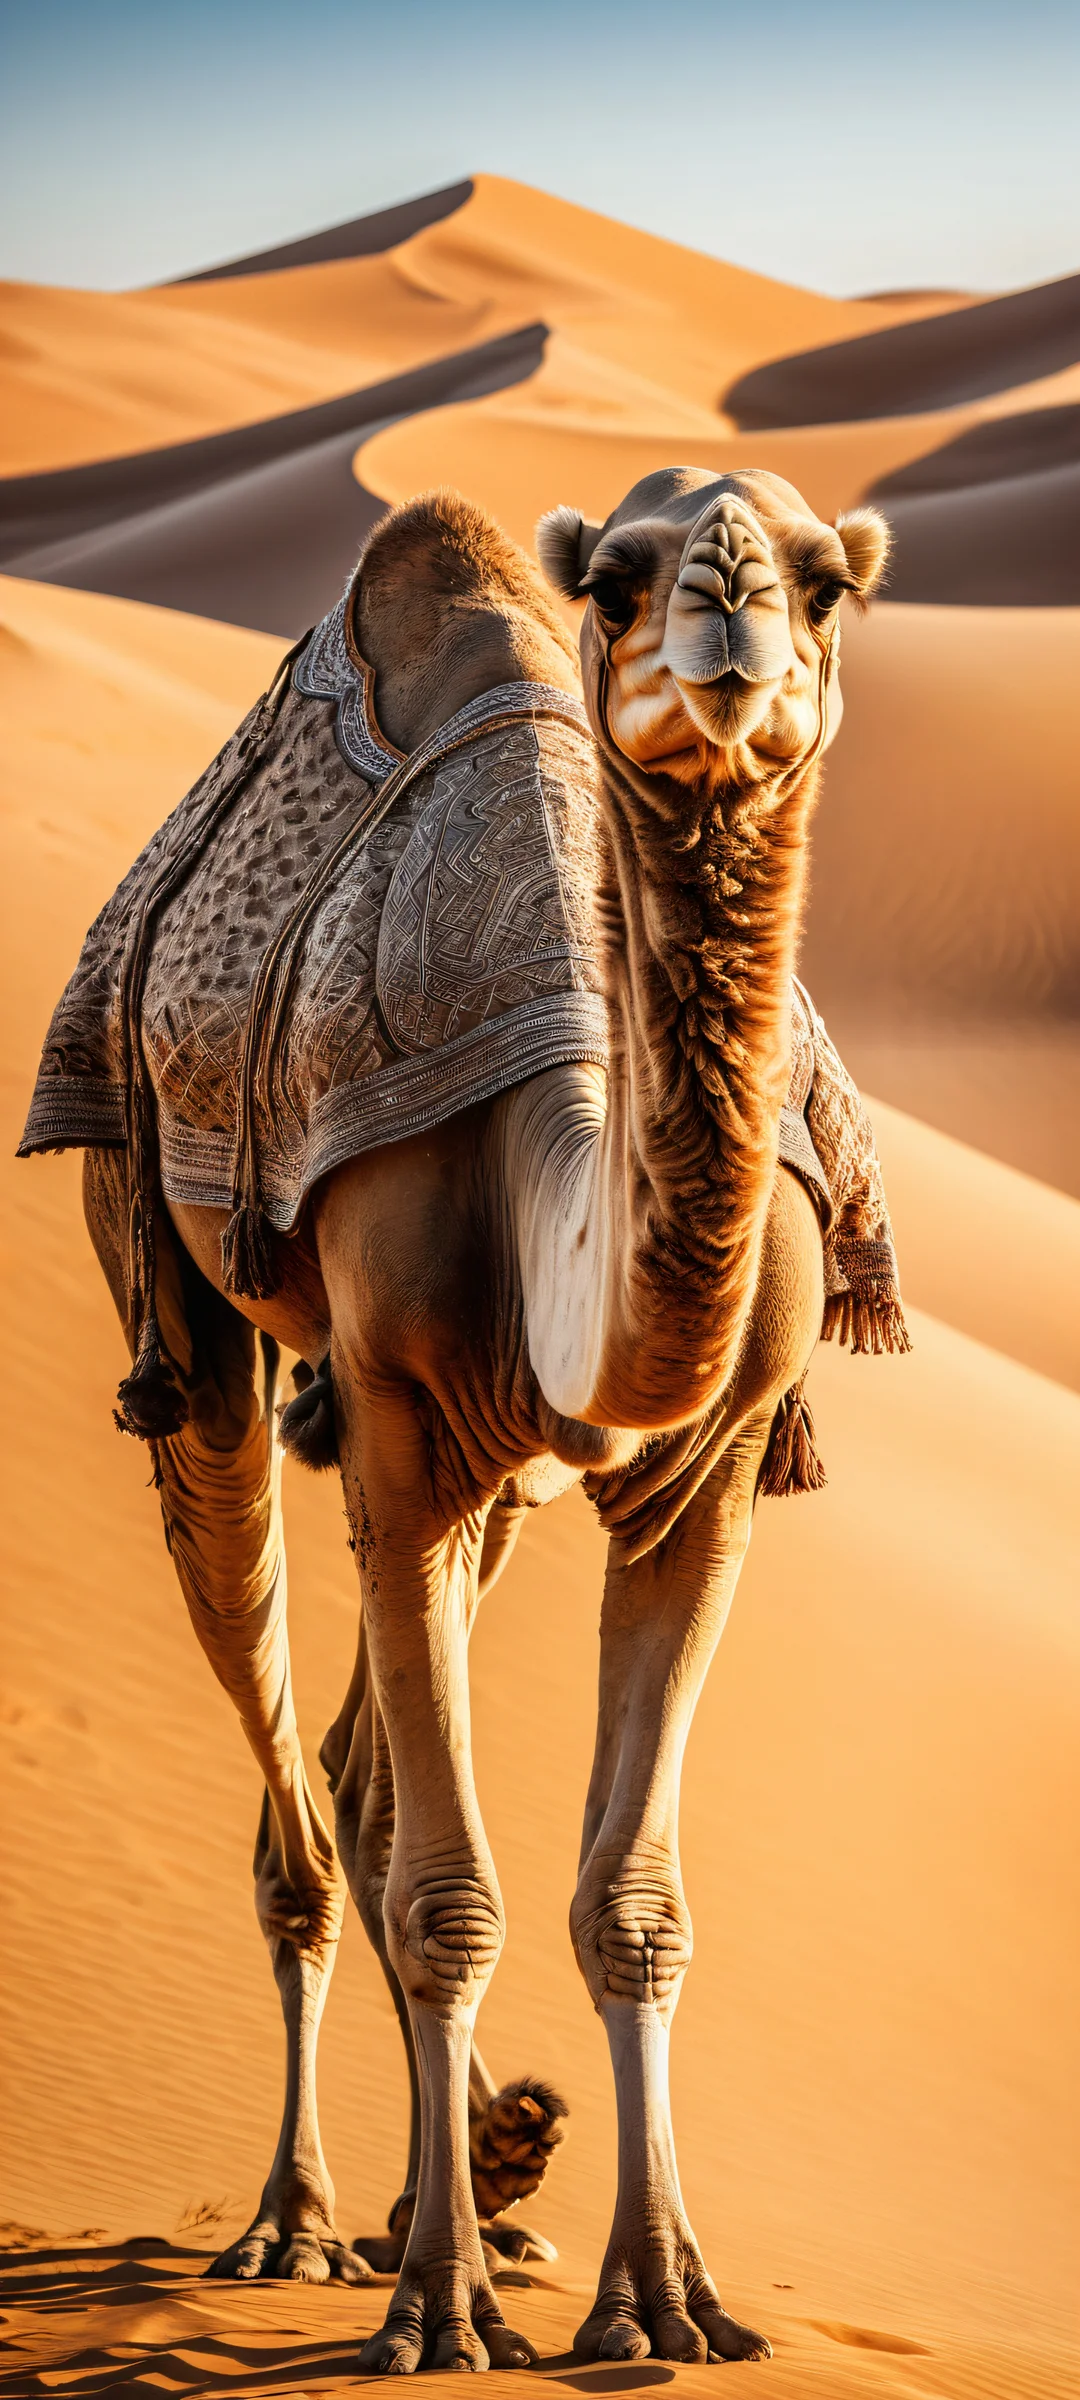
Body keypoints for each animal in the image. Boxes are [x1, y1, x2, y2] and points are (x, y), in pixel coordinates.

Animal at [24, 466, 893, 2373]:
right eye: (624, 577)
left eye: (823, 583)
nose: (728, 607)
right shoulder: (404, 1431)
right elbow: (450, 1894)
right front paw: (434, 2316)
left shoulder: (704, 1479)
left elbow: (633, 1904)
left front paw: (664, 2297)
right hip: (168, 1264)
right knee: (293, 1758)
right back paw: (314, 2224)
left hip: (501, 1479)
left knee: (362, 1770)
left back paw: (491, 2179)